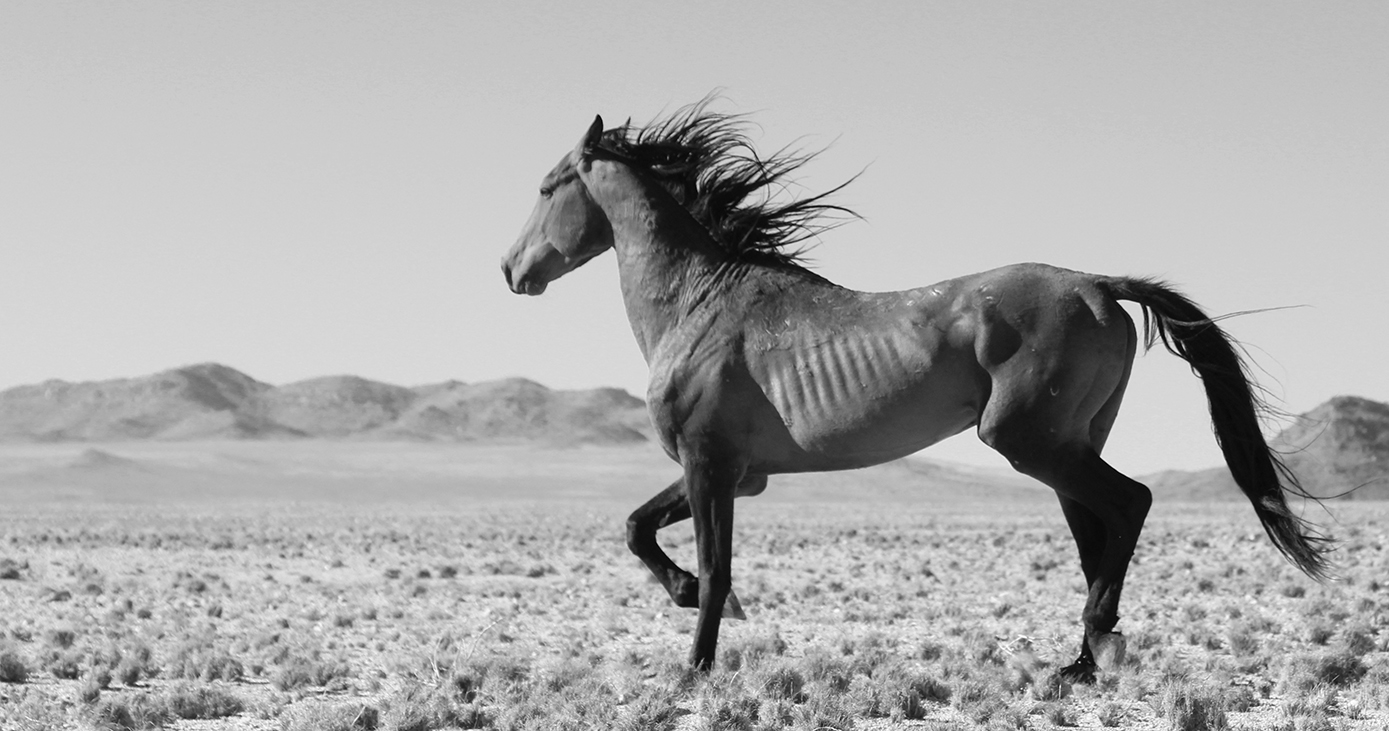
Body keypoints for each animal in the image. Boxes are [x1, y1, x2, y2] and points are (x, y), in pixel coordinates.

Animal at [505, 101, 1327, 680]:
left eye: (547, 186)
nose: (511, 270)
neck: (700, 301)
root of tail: (1096, 284)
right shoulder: (737, 474)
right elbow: (637, 527)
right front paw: (685, 606)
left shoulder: (710, 467)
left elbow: (712, 570)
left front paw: (695, 668)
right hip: (1069, 444)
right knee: (1096, 531)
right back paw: (1081, 661)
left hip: (1028, 442)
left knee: (1129, 504)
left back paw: (1096, 644)